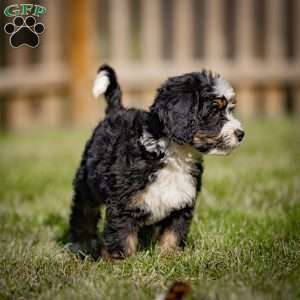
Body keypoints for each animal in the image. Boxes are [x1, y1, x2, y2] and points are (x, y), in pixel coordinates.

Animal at [68, 64, 244, 258]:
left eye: (230, 110)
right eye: (214, 111)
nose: (241, 134)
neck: (174, 154)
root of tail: (116, 110)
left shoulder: (182, 202)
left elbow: (173, 233)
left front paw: (169, 257)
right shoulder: (123, 202)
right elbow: (121, 236)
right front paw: (120, 261)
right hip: (86, 185)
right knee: (83, 213)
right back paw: (81, 244)